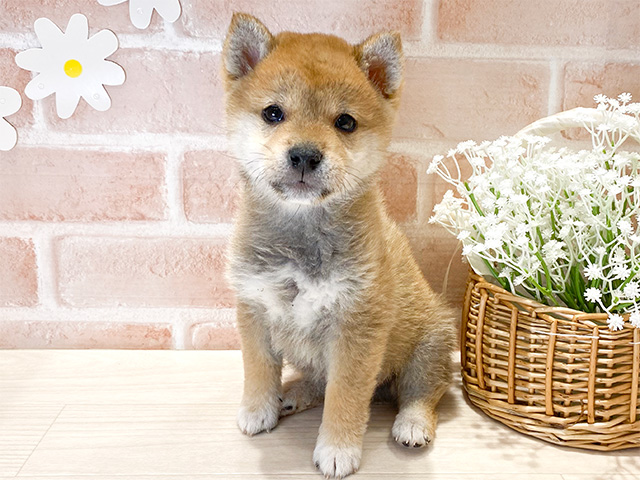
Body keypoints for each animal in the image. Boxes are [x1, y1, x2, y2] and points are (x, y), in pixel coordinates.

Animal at [222, 13, 458, 478]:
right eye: (273, 113)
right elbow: (257, 370)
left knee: (423, 393)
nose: (304, 155)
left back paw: (412, 424)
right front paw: (258, 410)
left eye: (345, 122)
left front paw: (337, 449)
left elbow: (344, 398)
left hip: (430, 346)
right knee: (317, 380)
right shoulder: (254, 310)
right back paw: (292, 395)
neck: (299, 236)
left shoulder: (356, 330)